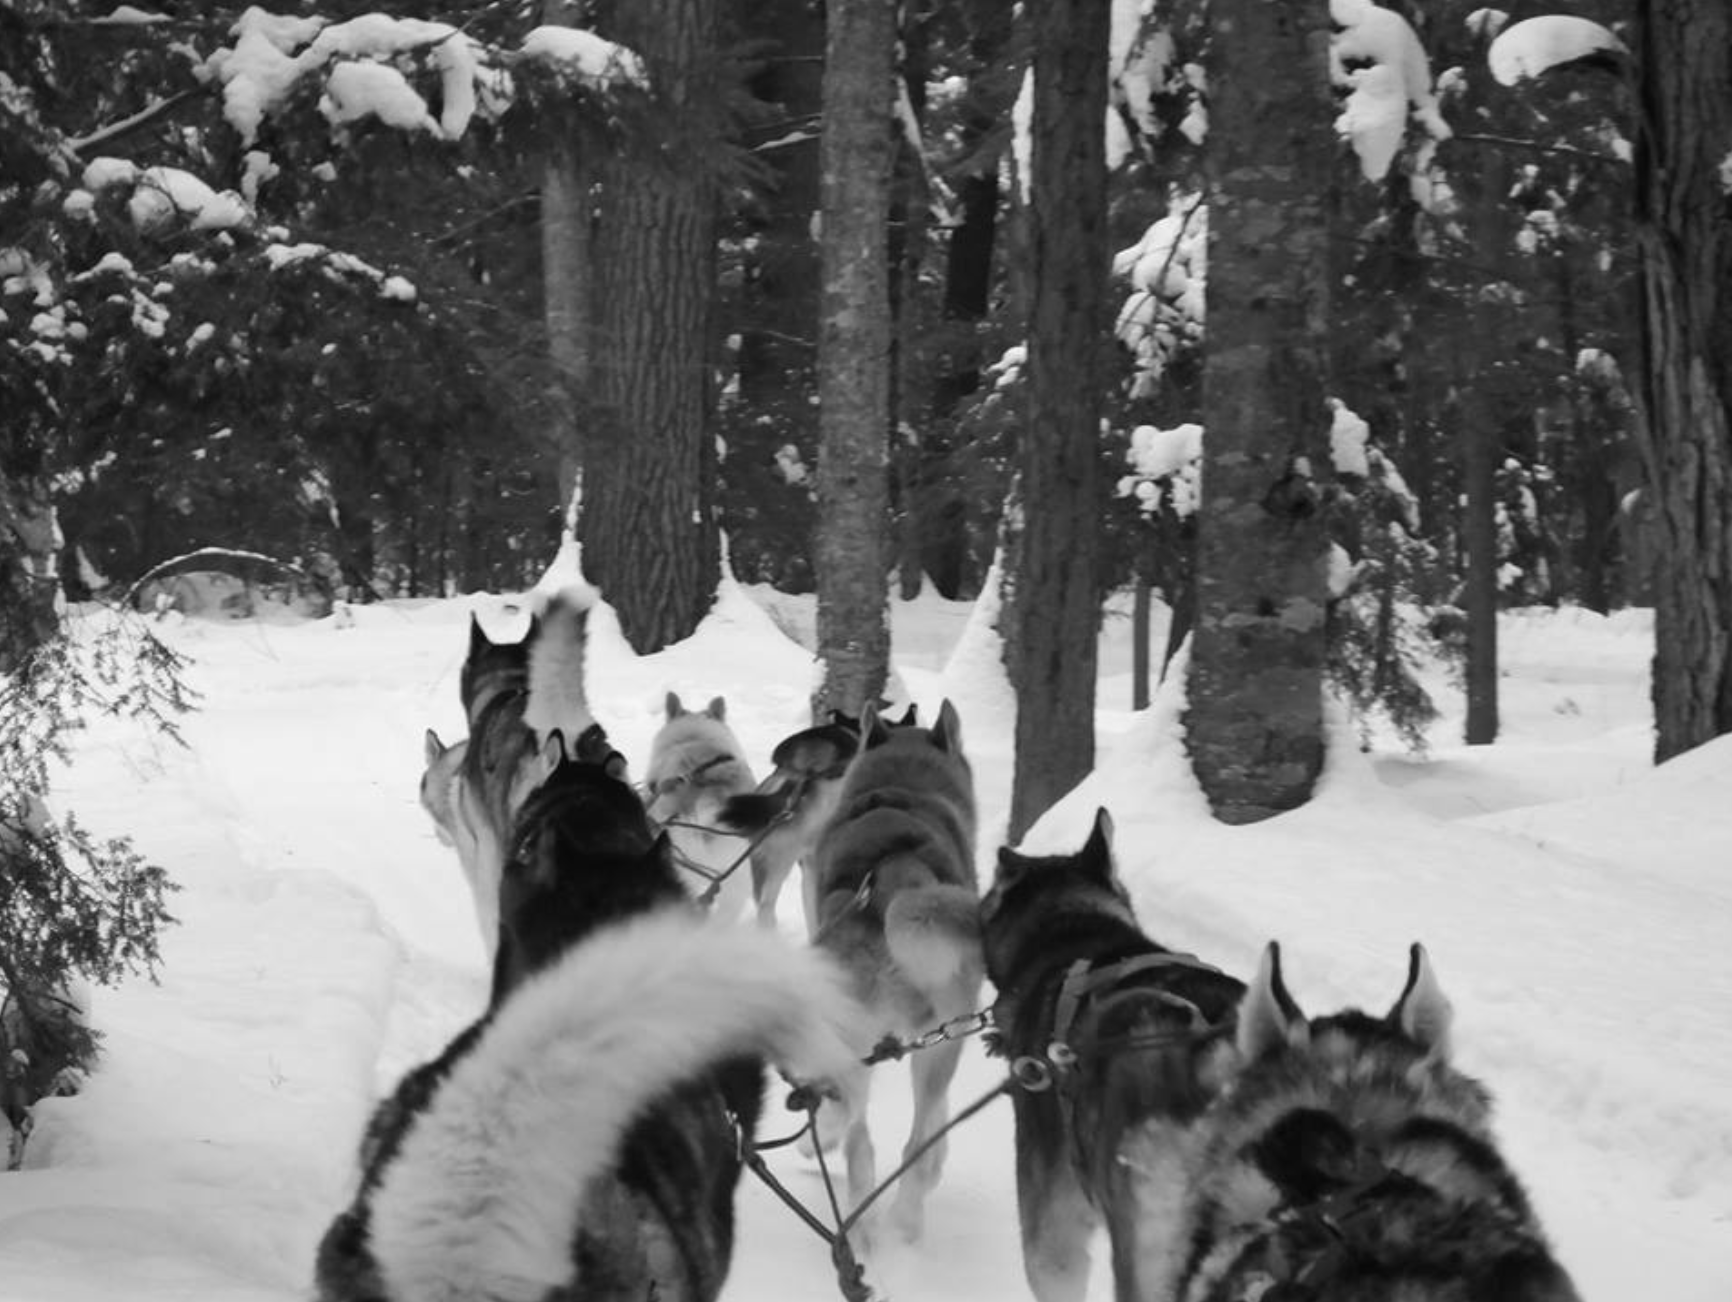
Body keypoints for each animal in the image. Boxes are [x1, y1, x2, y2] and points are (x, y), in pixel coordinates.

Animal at [803, 696, 983, 1246]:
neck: (906, 788)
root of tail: (893, 881)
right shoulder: (946, 1036)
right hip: (941, 1039)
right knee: (910, 1142)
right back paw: (906, 1215)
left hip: (861, 1034)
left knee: (859, 1137)